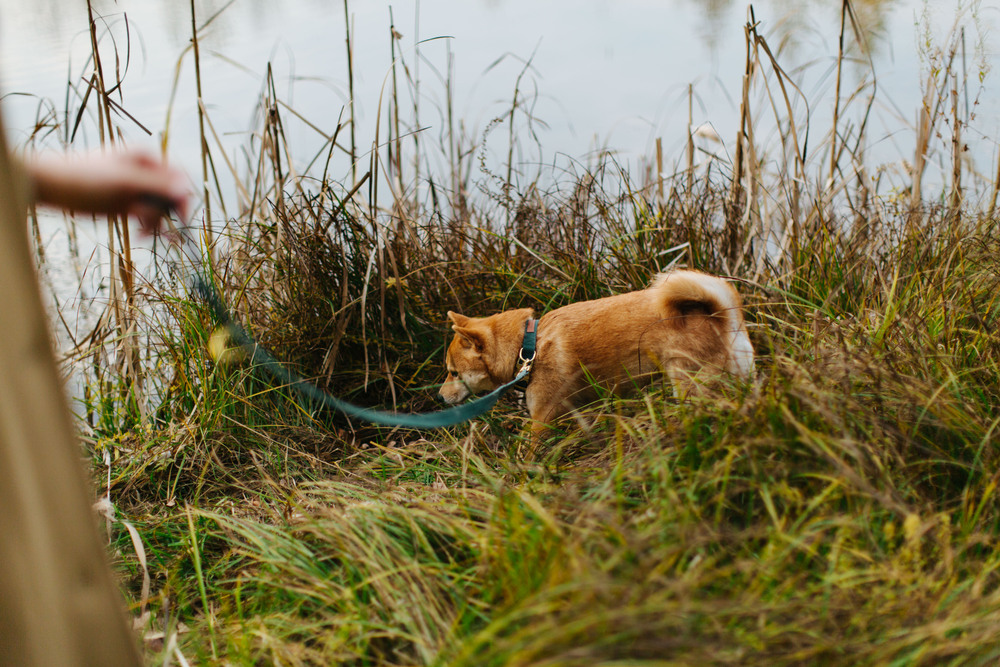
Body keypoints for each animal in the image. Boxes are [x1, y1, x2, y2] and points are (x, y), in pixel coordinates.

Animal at [442, 268, 752, 440]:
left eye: (453, 373)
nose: (439, 396)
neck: (529, 346)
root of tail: (722, 316)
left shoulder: (542, 420)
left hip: (691, 385)